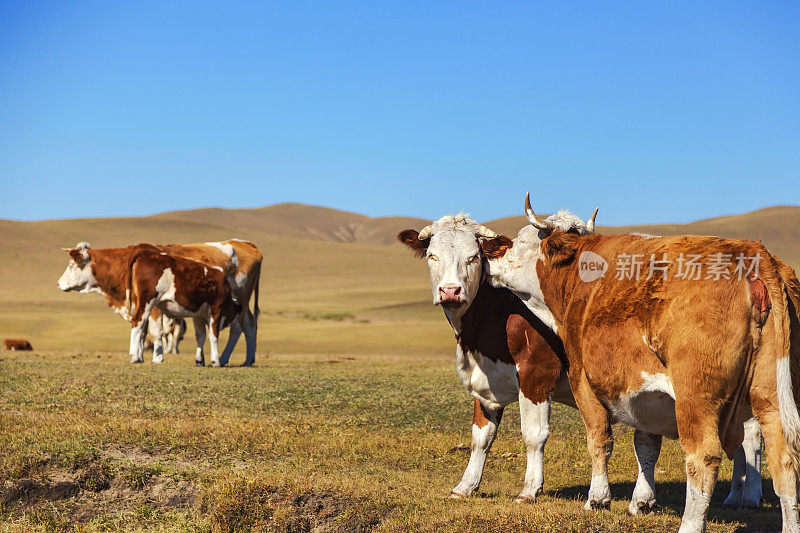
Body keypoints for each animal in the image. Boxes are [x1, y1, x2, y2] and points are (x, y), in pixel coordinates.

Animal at [478, 192, 796, 532]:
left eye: (521, 240)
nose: (488, 255)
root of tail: (753, 254)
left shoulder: (583, 379)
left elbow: (599, 439)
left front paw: (597, 499)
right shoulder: (648, 393)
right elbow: (646, 446)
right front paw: (641, 502)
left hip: (697, 399)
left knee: (703, 457)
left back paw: (689, 523)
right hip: (769, 398)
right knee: (785, 461)